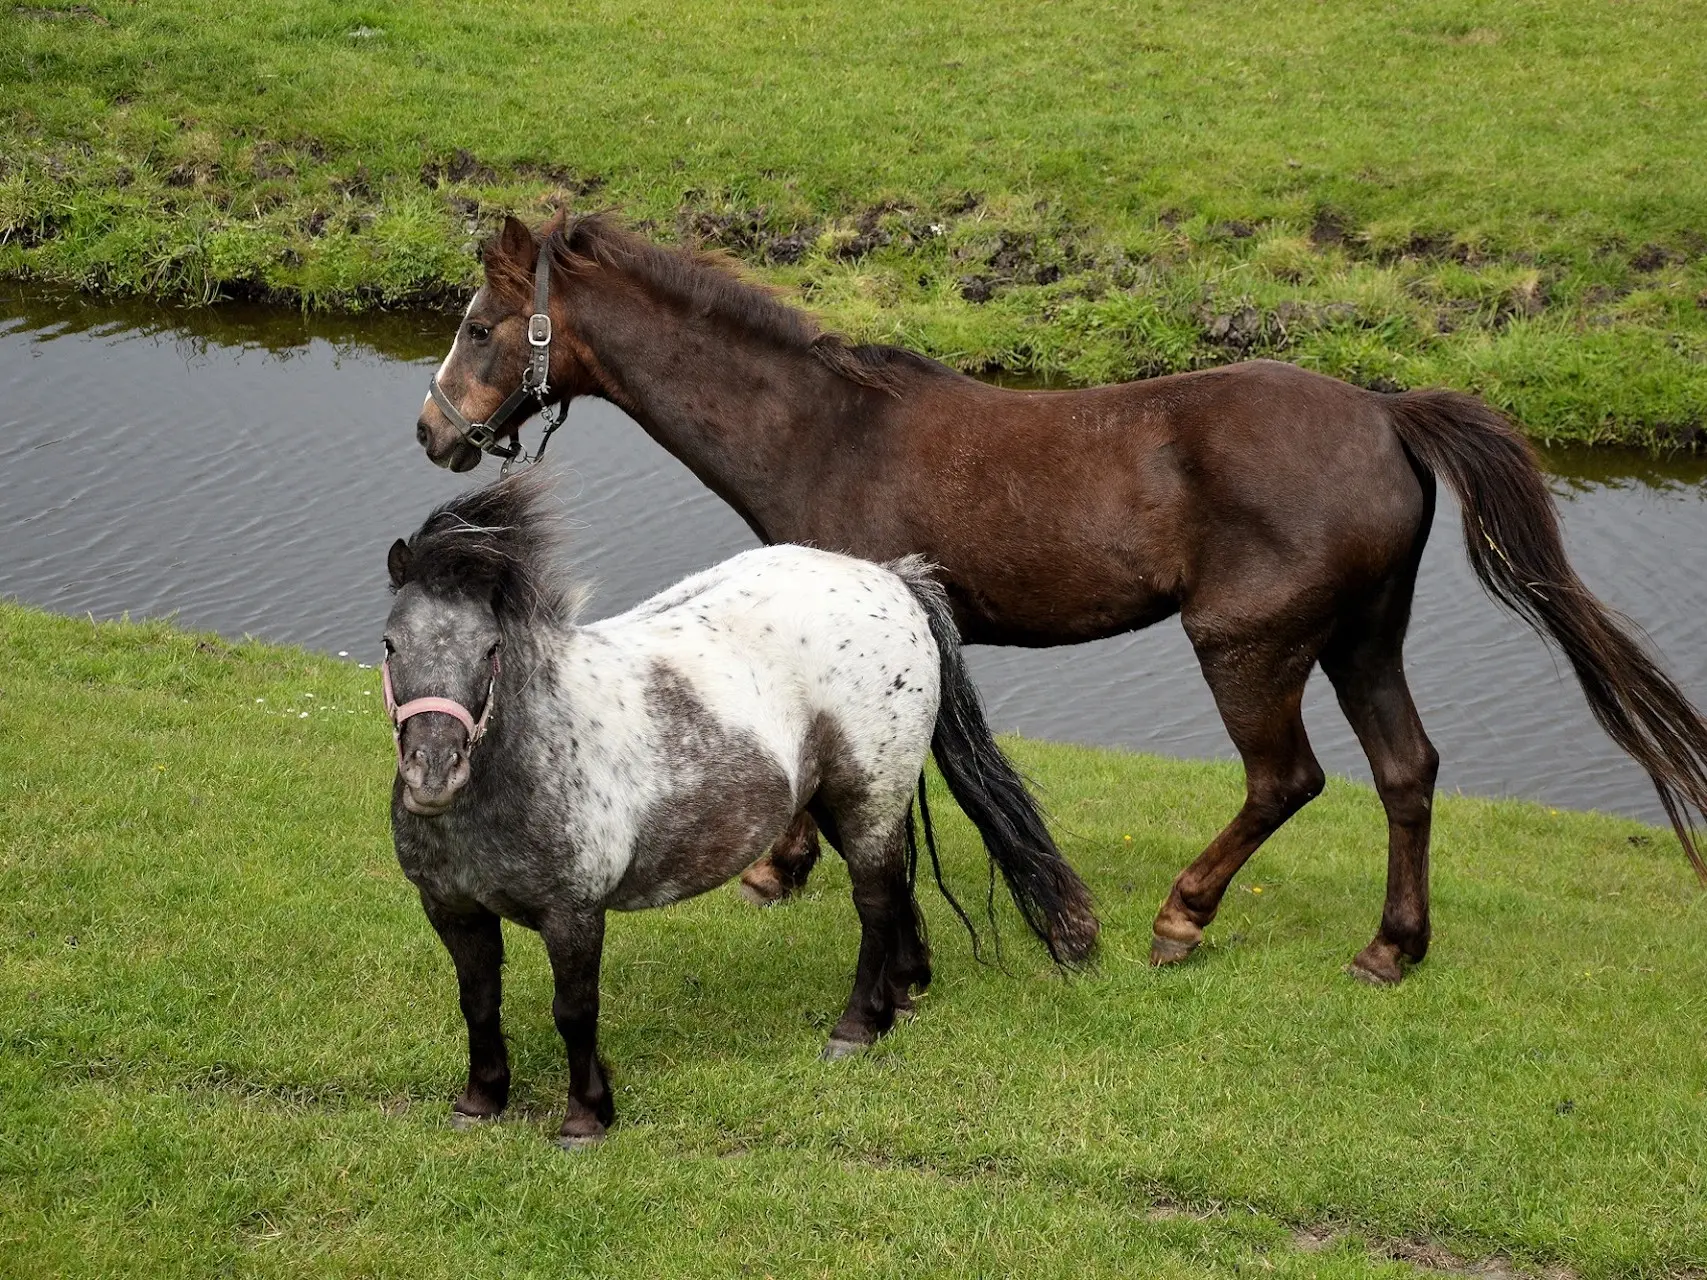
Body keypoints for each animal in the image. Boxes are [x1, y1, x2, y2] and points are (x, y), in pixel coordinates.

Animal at [384, 474, 1092, 1153]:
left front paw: (585, 1119)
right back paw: (900, 998)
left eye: (490, 649)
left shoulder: (574, 915)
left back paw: (857, 1027)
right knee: (895, 889)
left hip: (868, 796)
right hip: (839, 803)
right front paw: (480, 1103)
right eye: (391, 644)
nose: (433, 772)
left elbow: (573, 1011)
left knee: (875, 904)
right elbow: (478, 1000)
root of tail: (894, 580)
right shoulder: (452, 911)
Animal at [413, 215, 1707, 989]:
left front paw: (782, 868)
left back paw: (1182, 917)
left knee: (1287, 779)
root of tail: (1387, 413)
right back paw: (1393, 946)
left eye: (478, 325)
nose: (431, 429)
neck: (825, 427)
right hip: (1362, 637)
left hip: (1249, 644)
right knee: (1408, 771)